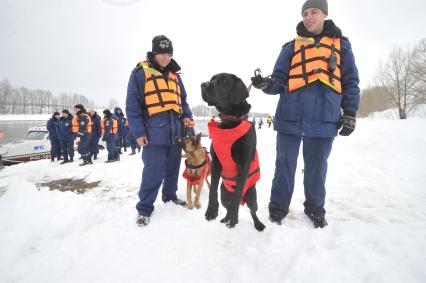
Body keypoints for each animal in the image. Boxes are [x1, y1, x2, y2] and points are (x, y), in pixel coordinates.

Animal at [201, 73, 266, 233]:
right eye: (211, 79)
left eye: (224, 81)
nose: (203, 85)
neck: (230, 121)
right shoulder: (216, 161)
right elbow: (212, 190)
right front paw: (211, 211)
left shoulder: (244, 164)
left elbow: (236, 196)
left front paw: (233, 218)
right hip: (224, 194)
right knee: (226, 204)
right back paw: (225, 218)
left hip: (251, 196)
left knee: (252, 210)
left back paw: (257, 224)